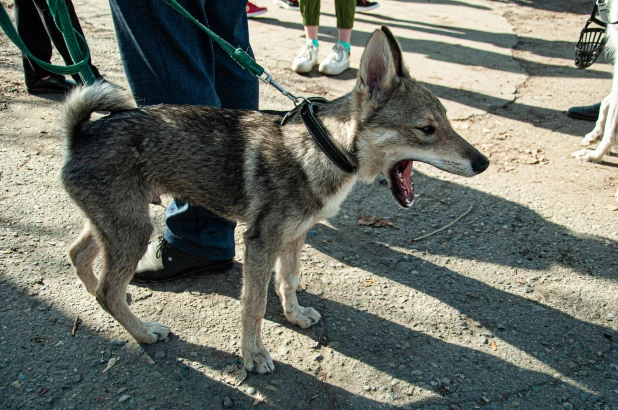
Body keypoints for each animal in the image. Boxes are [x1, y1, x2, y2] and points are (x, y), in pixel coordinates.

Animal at [61, 27, 486, 374]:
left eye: (448, 121)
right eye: (426, 129)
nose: (482, 163)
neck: (323, 146)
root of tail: (82, 133)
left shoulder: (295, 236)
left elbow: (289, 280)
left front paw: (294, 315)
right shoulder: (260, 243)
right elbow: (254, 306)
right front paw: (253, 356)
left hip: (115, 227)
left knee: (79, 257)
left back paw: (103, 296)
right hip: (133, 230)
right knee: (108, 290)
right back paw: (143, 331)